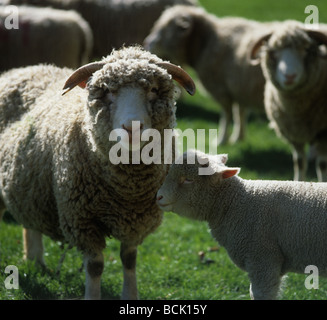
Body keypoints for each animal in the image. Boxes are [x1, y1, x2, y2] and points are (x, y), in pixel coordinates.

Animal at [0, 45, 195, 300]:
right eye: (108, 91)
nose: (132, 128)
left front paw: (130, 295)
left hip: (30, 186)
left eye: (153, 89)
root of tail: (23, 69)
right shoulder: (82, 220)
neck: (127, 190)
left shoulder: (137, 220)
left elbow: (129, 260)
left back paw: (36, 262)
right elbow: (95, 266)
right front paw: (93, 295)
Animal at [144, 5, 276, 144]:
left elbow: (227, 114)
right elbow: (240, 113)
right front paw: (238, 138)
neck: (205, 43)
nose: (147, 42)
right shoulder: (239, 90)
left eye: (166, 29)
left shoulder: (221, 89)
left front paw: (222, 139)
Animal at [250, 21, 327, 182]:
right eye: (273, 52)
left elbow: (322, 165)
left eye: (306, 50)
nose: (289, 76)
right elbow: (299, 162)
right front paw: (298, 182)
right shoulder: (293, 133)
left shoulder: (324, 133)